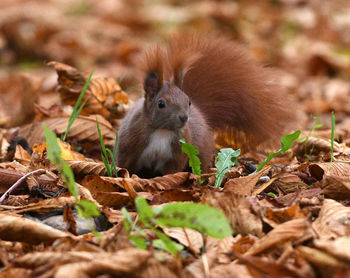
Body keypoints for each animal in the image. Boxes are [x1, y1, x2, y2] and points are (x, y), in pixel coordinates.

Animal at [116, 33, 294, 179]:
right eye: (161, 104)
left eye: (188, 101)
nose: (184, 117)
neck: (162, 131)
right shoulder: (131, 143)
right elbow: (125, 165)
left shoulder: (179, 151)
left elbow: (171, 171)